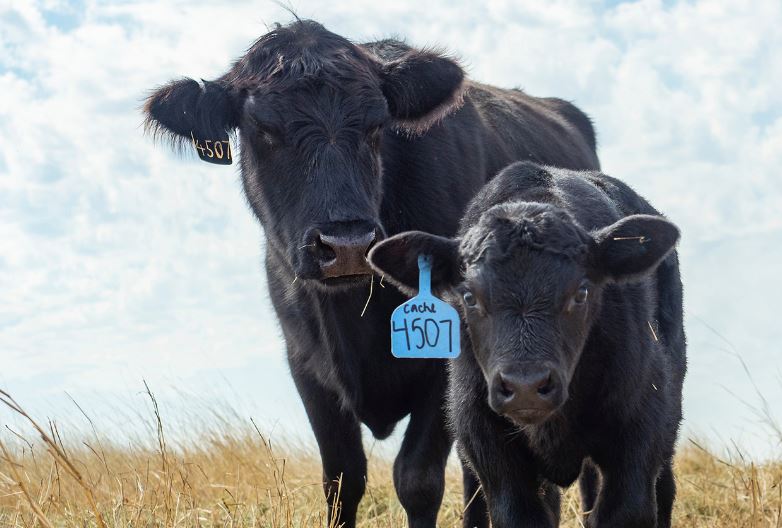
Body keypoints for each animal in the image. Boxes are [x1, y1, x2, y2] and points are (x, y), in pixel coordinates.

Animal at [143, 19, 600, 528]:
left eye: (378, 124)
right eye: (262, 128)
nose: (346, 246)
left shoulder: (446, 361)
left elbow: (417, 480)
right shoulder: (307, 366)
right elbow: (342, 480)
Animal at [369, 161, 686, 527]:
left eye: (581, 292)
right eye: (469, 296)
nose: (526, 387)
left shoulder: (639, 427)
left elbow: (626, 510)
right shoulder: (487, 444)